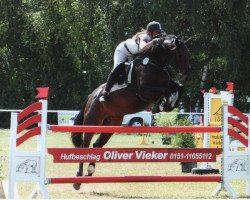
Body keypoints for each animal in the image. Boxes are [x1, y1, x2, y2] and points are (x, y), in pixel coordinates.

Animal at [70, 35, 189, 190]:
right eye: (180, 55)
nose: (187, 75)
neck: (155, 63)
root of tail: (91, 95)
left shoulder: (166, 84)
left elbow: (177, 88)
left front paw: (167, 104)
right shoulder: (145, 91)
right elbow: (166, 90)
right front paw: (163, 105)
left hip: (111, 124)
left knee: (97, 145)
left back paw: (90, 172)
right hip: (92, 122)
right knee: (85, 147)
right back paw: (77, 180)